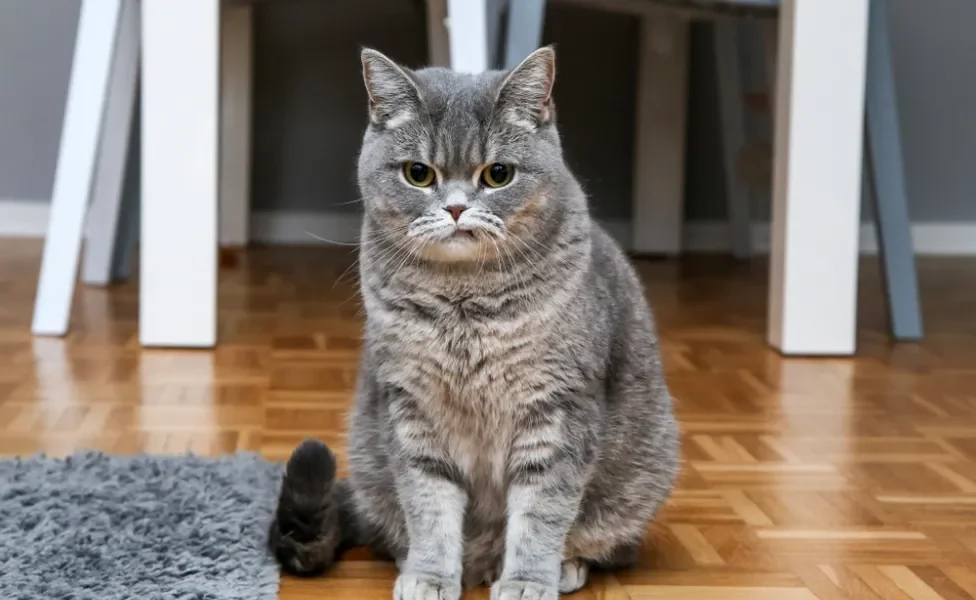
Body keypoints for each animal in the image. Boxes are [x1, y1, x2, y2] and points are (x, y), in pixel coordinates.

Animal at [266, 47, 680, 600]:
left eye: (498, 173)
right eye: (418, 173)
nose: (458, 207)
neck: (465, 306)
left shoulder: (558, 408)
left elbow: (542, 512)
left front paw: (527, 581)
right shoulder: (413, 409)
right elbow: (429, 507)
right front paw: (429, 575)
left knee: (608, 544)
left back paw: (563, 567)